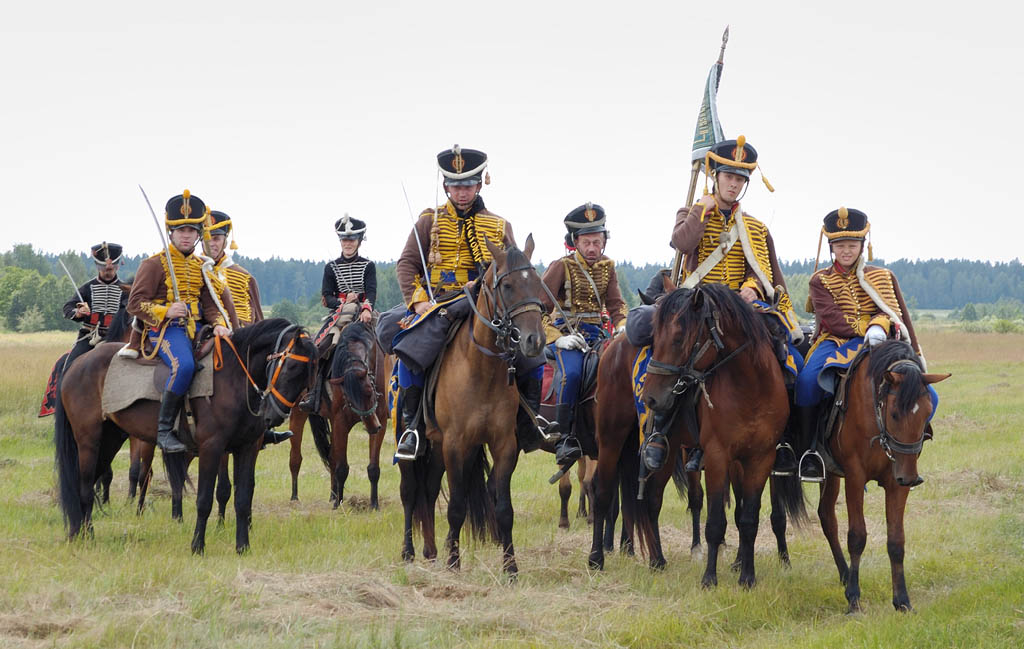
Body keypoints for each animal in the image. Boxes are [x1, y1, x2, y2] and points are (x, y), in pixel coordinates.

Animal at [51, 319, 313, 552]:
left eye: (308, 375)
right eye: (290, 367)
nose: (275, 415)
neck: (235, 376)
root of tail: (77, 364)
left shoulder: (247, 447)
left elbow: (242, 499)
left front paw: (242, 547)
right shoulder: (212, 447)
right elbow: (204, 499)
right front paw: (198, 546)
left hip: (110, 439)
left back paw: (80, 532)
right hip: (88, 441)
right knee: (84, 487)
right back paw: (86, 537)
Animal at [395, 235, 548, 573]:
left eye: (538, 285)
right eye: (507, 286)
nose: (535, 341)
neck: (483, 369)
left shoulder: (504, 444)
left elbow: (503, 509)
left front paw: (511, 568)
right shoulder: (456, 443)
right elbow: (456, 506)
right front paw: (454, 563)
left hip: (438, 446)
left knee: (428, 489)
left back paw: (430, 550)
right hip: (415, 440)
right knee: (410, 492)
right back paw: (409, 552)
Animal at [638, 282, 798, 585]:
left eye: (678, 338)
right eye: (653, 338)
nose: (650, 397)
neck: (751, 386)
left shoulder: (760, 459)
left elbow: (748, 519)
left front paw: (747, 577)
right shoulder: (716, 457)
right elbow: (714, 522)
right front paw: (709, 578)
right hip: (668, 451)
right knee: (651, 499)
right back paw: (656, 560)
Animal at [815, 337, 950, 610]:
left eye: (926, 413)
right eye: (895, 414)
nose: (911, 478)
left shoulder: (896, 482)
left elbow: (896, 540)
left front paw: (902, 600)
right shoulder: (855, 478)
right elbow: (857, 536)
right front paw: (854, 598)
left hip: (832, 475)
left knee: (826, 515)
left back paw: (844, 574)